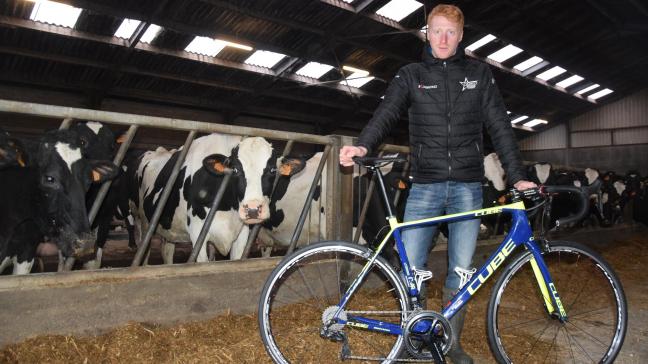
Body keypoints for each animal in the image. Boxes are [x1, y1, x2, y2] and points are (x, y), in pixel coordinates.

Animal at [129, 134, 302, 262]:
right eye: (235, 170)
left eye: (273, 170)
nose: (253, 210)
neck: (226, 207)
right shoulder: (197, 232)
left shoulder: (242, 233)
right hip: (143, 220)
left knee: (167, 250)